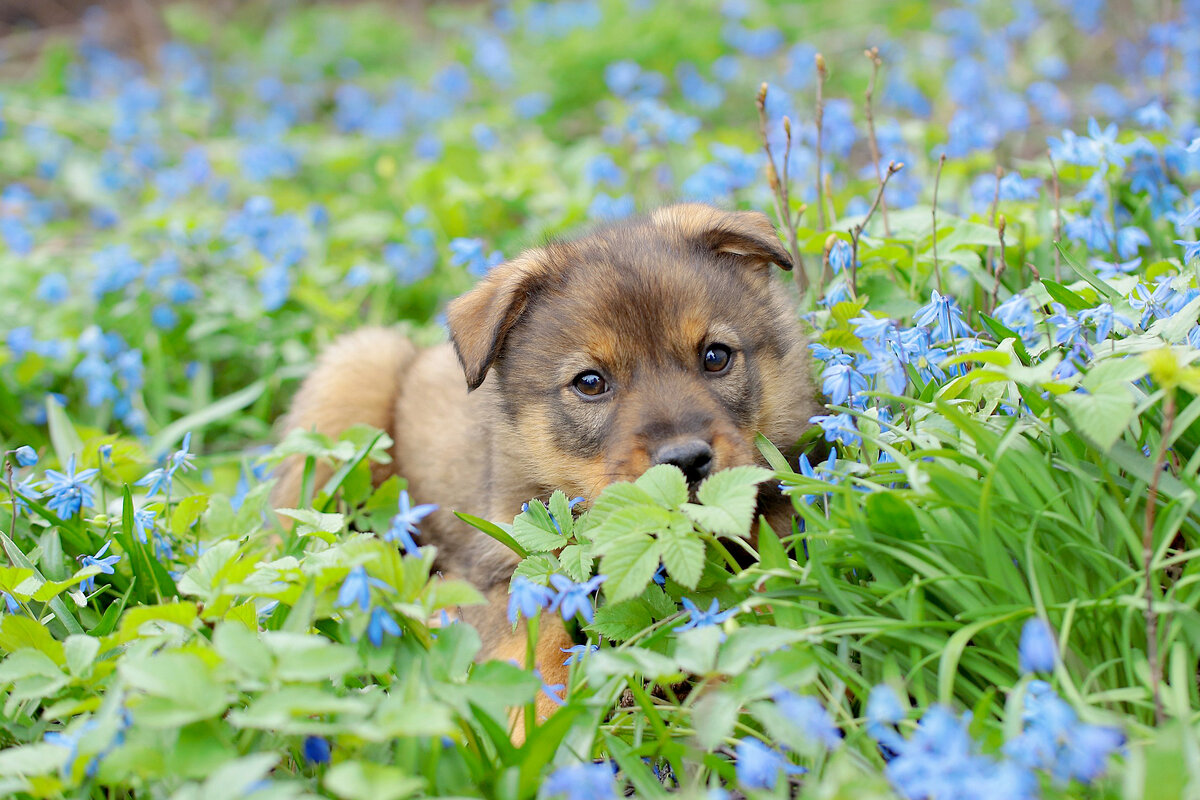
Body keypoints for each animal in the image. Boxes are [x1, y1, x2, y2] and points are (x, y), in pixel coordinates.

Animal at [271, 205, 816, 724]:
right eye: (590, 382)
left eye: (716, 356)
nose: (685, 460)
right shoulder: (500, 567)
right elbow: (534, 645)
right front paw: (541, 721)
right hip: (355, 371)